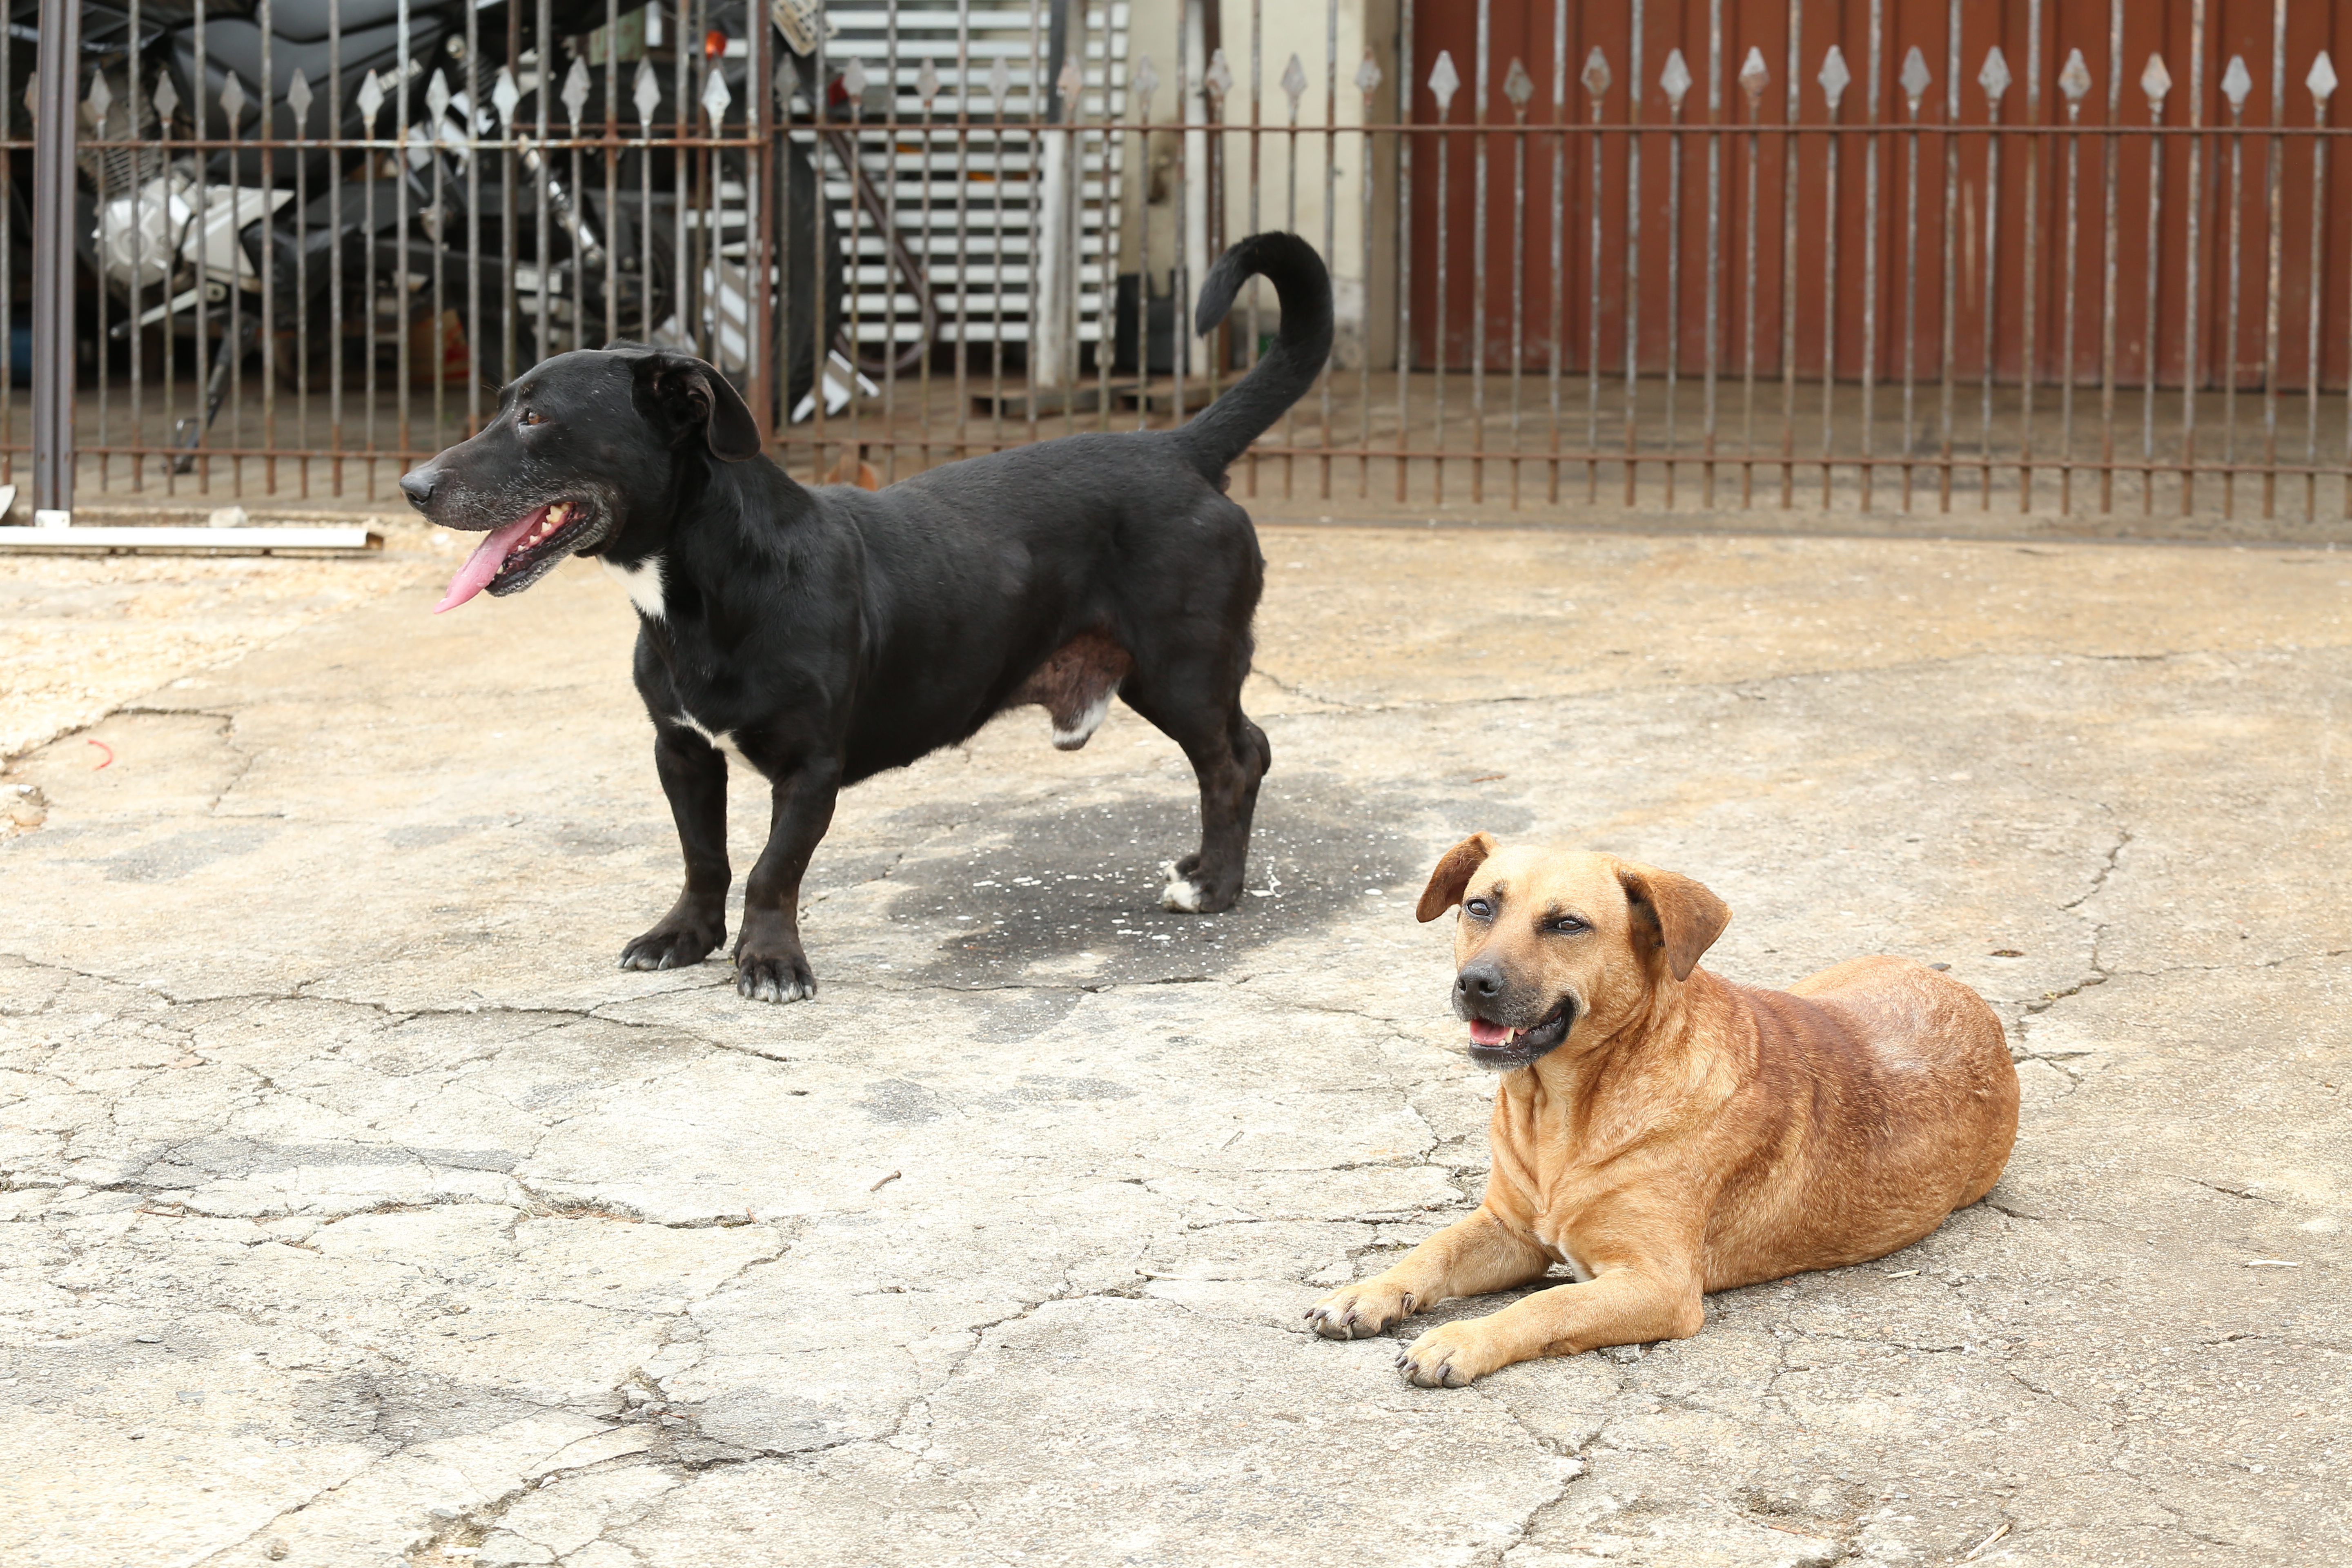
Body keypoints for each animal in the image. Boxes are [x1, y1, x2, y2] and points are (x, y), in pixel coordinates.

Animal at [397, 230, 1336, 1006]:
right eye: (501, 404)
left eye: (536, 417)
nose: (411, 485)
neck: (712, 586)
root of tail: (1180, 447)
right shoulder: (681, 750)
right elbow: (705, 855)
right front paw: (685, 937)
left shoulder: (811, 767)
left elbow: (772, 870)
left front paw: (770, 963)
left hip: (1181, 668)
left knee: (1236, 760)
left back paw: (1213, 887)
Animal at [1307, 842, 2022, 1392]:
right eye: (1480, 907)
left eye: (1568, 925)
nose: (1475, 983)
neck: (1564, 1113)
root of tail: (1965, 994)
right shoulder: (1508, 1230)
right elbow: (1433, 1249)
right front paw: (1369, 1291)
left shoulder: (1659, 1286)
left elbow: (1548, 1303)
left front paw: (1464, 1339)